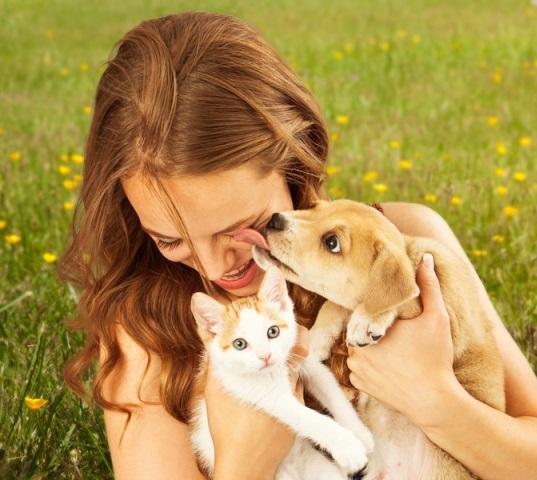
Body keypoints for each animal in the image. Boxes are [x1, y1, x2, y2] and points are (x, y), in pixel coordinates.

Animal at [188, 266, 372, 480]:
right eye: (239, 344)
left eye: (273, 332)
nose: (265, 356)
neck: (276, 370)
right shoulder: (262, 394)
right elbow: (308, 418)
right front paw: (348, 448)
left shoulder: (307, 363)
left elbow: (334, 395)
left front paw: (361, 434)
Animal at [249, 199, 504, 480]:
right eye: (315, 207)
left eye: (332, 242)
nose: (275, 219)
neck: (410, 252)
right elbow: (335, 304)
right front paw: (318, 338)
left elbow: (396, 298)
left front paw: (367, 320)